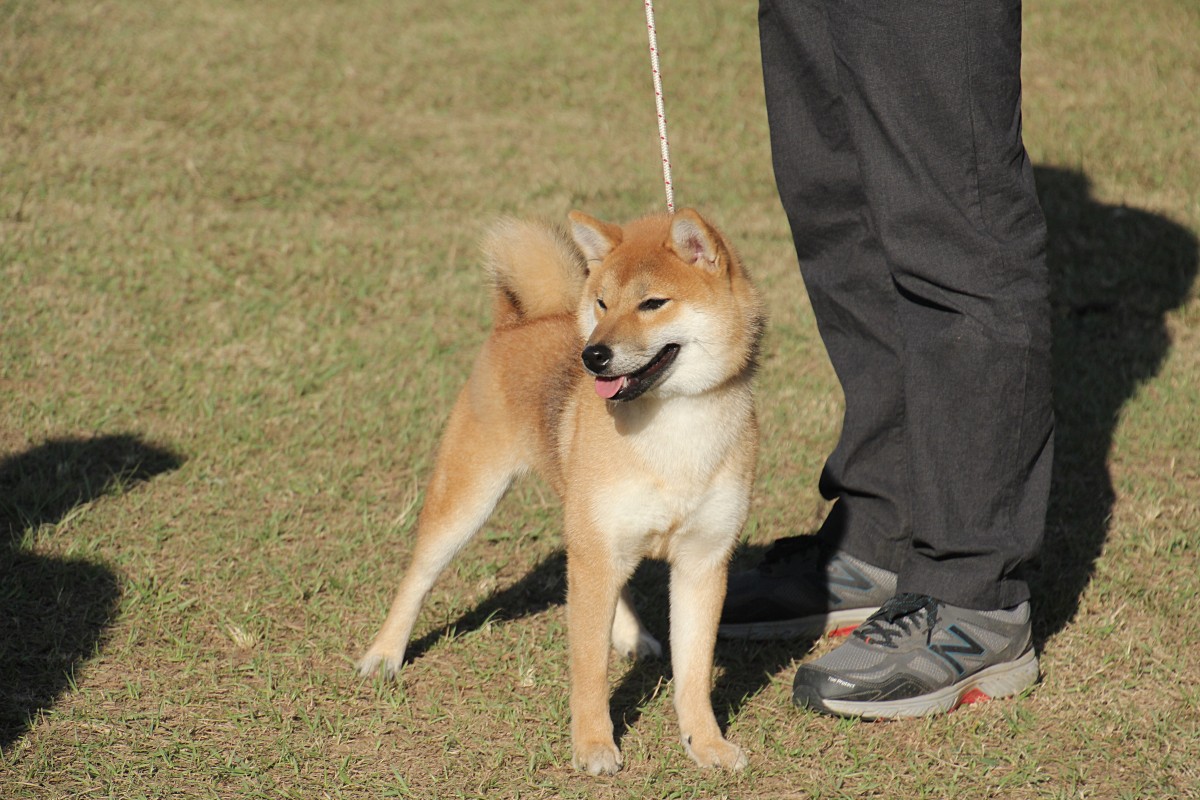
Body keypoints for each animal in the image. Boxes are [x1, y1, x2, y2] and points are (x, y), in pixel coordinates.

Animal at [357, 209, 768, 772]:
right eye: (603, 303)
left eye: (652, 303)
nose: (593, 355)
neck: (675, 431)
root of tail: (517, 323)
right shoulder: (597, 552)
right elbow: (589, 668)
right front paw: (594, 744)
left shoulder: (703, 560)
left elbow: (694, 674)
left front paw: (704, 744)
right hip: (469, 501)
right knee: (417, 578)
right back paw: (384, 654)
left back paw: (632, 635)